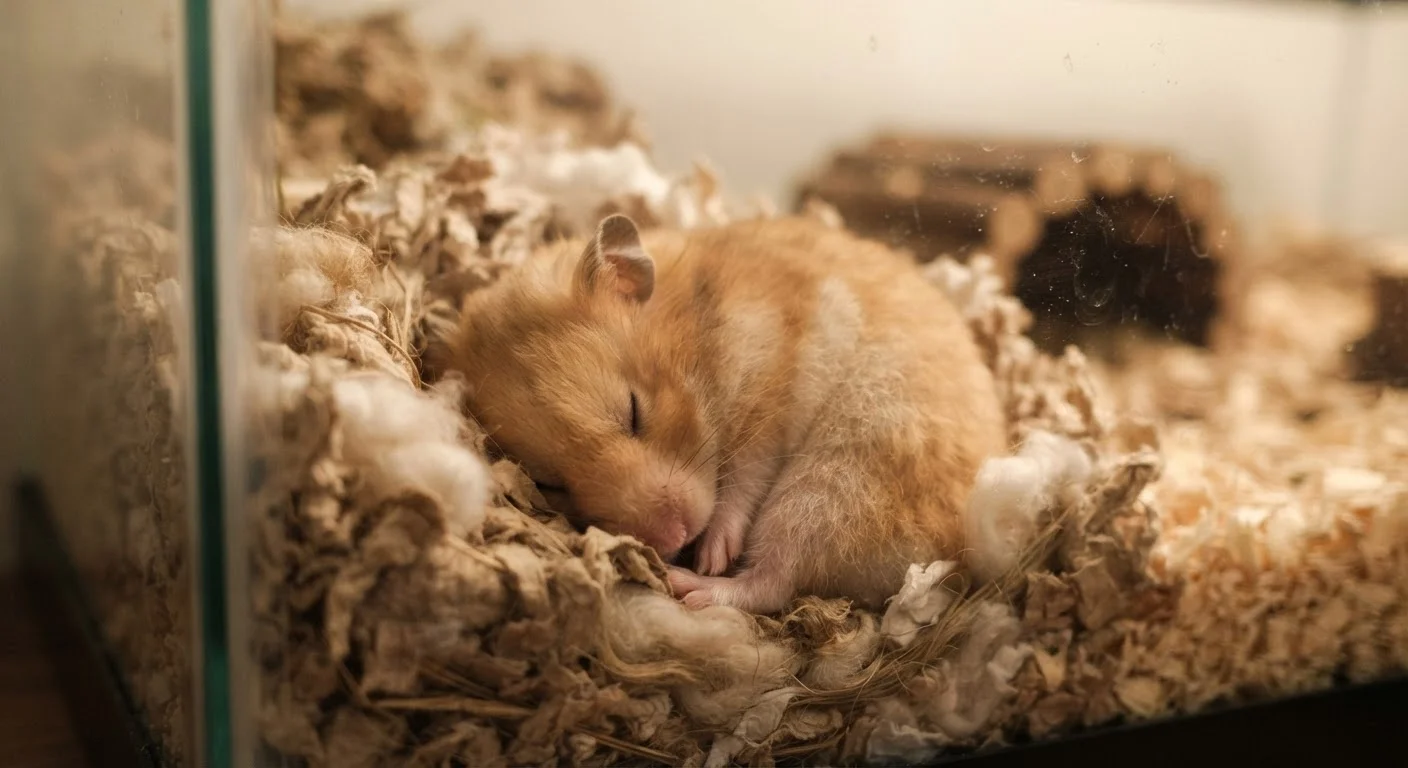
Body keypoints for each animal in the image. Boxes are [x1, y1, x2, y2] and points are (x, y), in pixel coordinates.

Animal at [448, 213, 1007, 614]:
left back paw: (691, 583)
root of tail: (958, 553)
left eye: (634, 412)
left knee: (773, 582)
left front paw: (714, 551)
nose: (673, 539)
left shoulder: (771, 388)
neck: (703, 334)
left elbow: (743, 476)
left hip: (832, 485)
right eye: (553, 484)